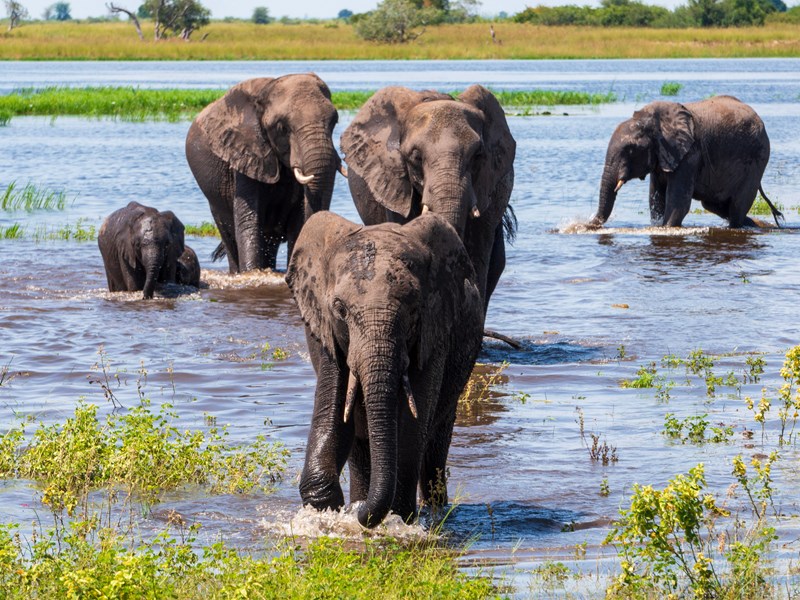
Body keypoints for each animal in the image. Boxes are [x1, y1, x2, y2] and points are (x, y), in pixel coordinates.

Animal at [186, 71, 346, 274]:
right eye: (282, 128)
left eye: (334, 121)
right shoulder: (245, 151)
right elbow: (249, 221)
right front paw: (251, 272)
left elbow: (298, 220)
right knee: (229, 235)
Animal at [288, 212, 488, 528]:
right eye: (340, 309)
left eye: (414, 310)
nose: (360, 517)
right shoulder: (322, 331)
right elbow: (332, 416)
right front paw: (329, 509)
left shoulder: (434, 330)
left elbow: (411, 426)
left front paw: (398, 518)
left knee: (434, 445)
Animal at [592, 95, 784, 229]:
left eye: (631, 150)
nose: (589, 223)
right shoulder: (663, 156)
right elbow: (657, 201)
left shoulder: (690, 155)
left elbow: (678, 204)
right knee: (716, 206)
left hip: (757, 160)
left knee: (736, 208)